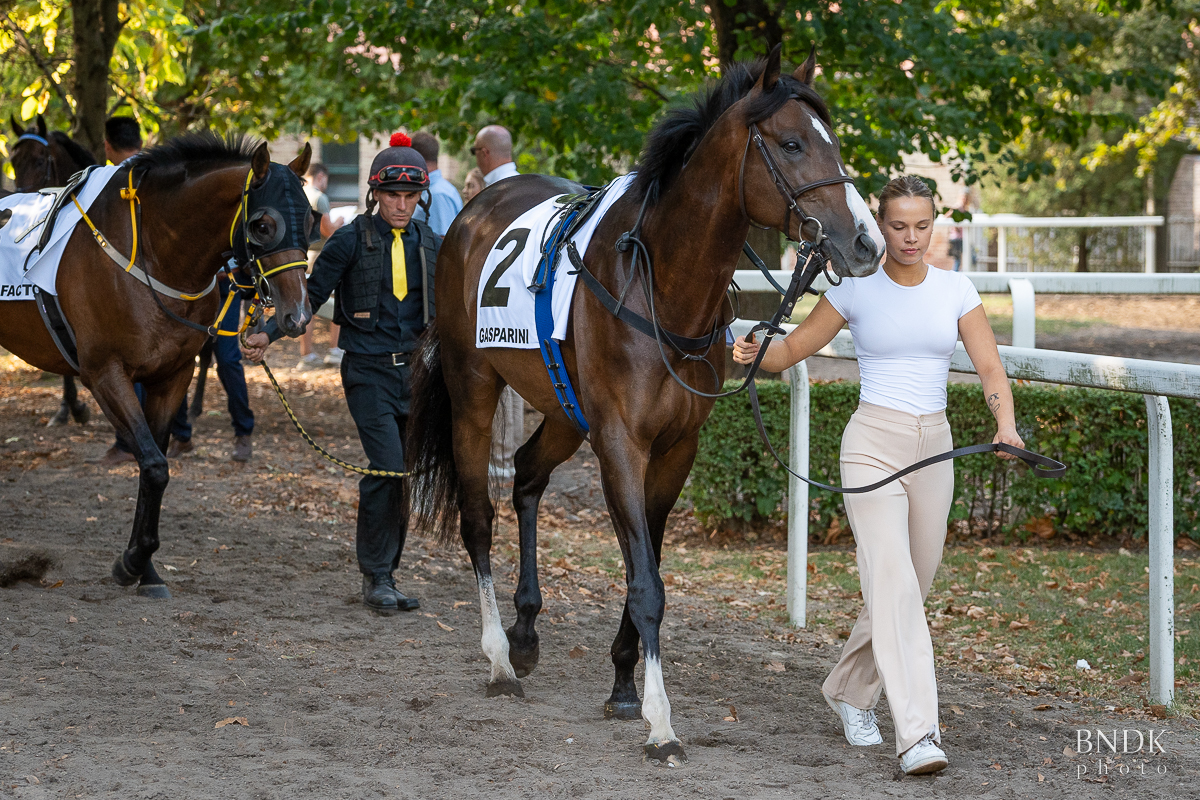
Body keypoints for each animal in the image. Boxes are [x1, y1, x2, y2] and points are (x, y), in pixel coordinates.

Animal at [408, 45, 888, 762]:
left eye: (832, 142)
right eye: (793, 143)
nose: (866, 242)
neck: (663, 284)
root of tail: (473, 208)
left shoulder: (674, 447)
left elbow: (649, 565)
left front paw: (622, 685)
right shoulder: (619, 441)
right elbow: (645, 583)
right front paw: (661, 720)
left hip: (562, 409)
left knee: (526, 477)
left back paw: (525, 634)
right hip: (473, 390)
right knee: (478, 518)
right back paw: (497, 657)